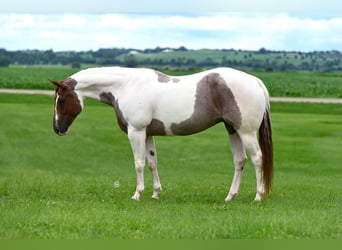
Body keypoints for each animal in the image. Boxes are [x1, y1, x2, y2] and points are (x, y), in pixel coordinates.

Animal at [48, 66, 272, 201]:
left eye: (61, 100)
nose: (58, 129)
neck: (125, 86)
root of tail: (256, 81)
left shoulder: (136, 132)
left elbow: (138, 163)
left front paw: (137, 194)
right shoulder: (147, 134)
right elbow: (152, 163)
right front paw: (155, 194)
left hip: (246, 132)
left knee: (257, 159)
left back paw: (258, 196)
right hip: (232, 130)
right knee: (240, 161)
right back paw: (230, 197)